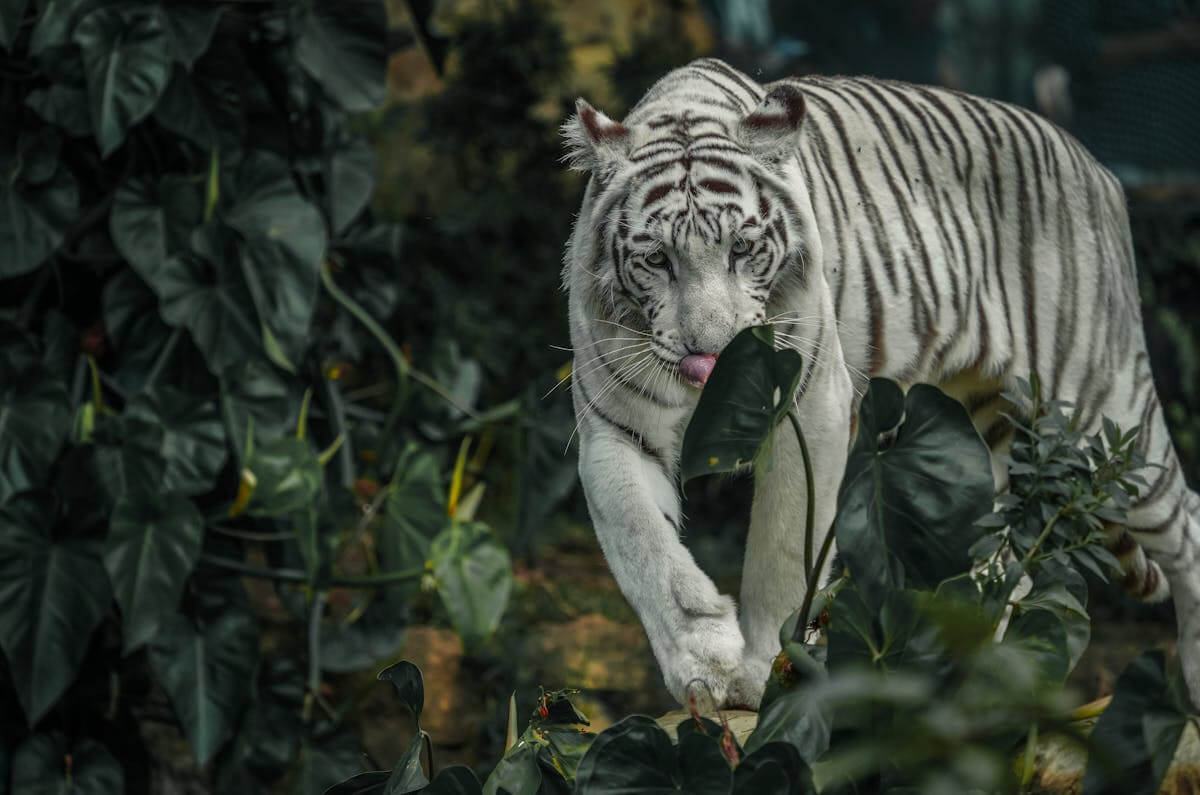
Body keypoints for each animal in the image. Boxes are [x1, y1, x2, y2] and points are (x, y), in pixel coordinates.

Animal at [560, 57, 1200, 710]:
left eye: (741, 249)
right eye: (657, 260)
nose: (710, 355)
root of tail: (1098, 166)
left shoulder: (810, 414)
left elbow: (782, 551)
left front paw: (763, 670)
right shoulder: (614, 431)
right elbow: (643, 543)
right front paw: (704, 661)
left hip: (1101, 412)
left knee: (1186, 522)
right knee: (1002, 563)